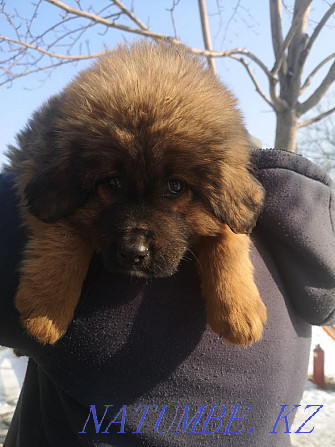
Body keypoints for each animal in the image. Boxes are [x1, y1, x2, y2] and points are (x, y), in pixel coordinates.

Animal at [4, 40, 268, 346]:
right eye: (113, 182)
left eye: (176, 186)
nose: (133, 252)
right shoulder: (35, 180)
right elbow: (62, 234)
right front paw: (46, 310)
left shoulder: (236, 209)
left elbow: (229, 238)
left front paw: (238, 309)